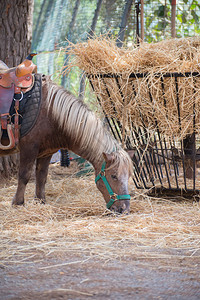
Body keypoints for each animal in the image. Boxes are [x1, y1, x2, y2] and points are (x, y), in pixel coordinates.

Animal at [1, 76, 134, 214]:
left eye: (129, 176)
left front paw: (40, 202)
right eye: (113, 176)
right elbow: (24, 176)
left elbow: (41, 177)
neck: (50, 113)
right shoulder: (29, 148)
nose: (124, 209)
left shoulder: (46, 152)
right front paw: (18, 203)